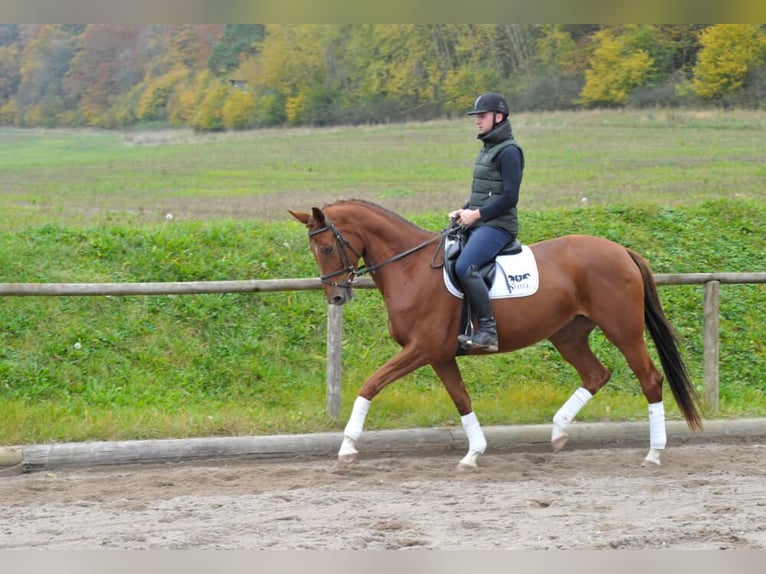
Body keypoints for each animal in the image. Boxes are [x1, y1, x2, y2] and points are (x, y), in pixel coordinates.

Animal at [292, 200, 704, 470]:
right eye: (314, 250)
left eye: (326, 247)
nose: (336, 297)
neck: (410, 268)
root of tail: (622, 250)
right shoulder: (440, 355)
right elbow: (461, 400)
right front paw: (473, 452)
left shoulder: (422, 348)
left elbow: (370, 384)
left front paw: (347, 446)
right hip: (568, 334)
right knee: (595, 375)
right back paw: (558, 431)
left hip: (623, 330)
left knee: (649, 379)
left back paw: (653, 452)